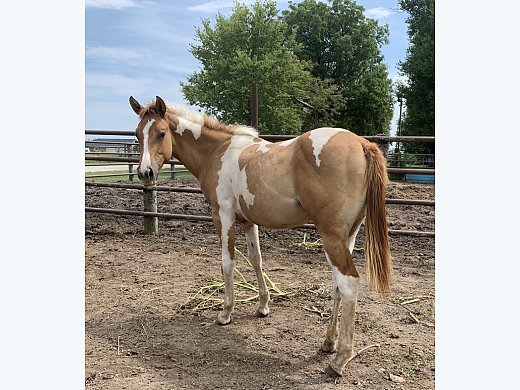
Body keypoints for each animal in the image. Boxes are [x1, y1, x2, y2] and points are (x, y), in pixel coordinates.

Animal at [128, 95, 392, 378]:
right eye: (137, 134)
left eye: (161, 133)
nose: (145, 173)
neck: (217, 151)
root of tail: (362, 144)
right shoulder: (248, 221)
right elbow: (257, 260)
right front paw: (263, 306)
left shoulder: (223, 215)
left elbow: (228, 263)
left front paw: (226, 313)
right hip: (347, 236)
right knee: (337, 285)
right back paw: (328, 343)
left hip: (331, 236)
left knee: (348, 283)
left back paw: (340, 359)